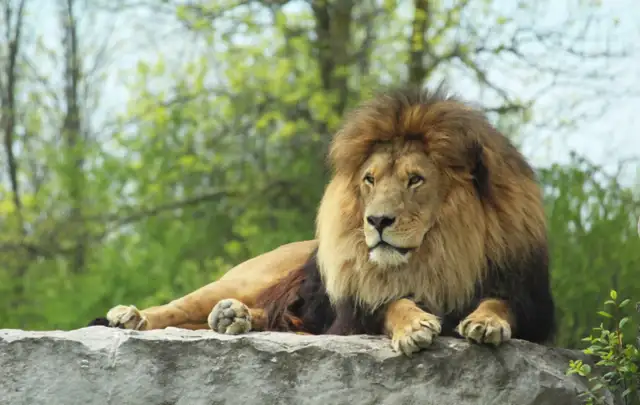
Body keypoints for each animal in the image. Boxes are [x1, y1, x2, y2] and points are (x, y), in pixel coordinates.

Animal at [90, 85, 556, 356]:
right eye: (370, 179)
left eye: (415, 180)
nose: (378, 221)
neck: (441, 251)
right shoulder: (354, 311)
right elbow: (391, 303)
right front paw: (415, 325)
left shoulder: (533, 303)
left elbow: (502, 302)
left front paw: (485, 321)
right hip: (247, 276)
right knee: (180, 307)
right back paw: (132, 316)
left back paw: (233, 318)